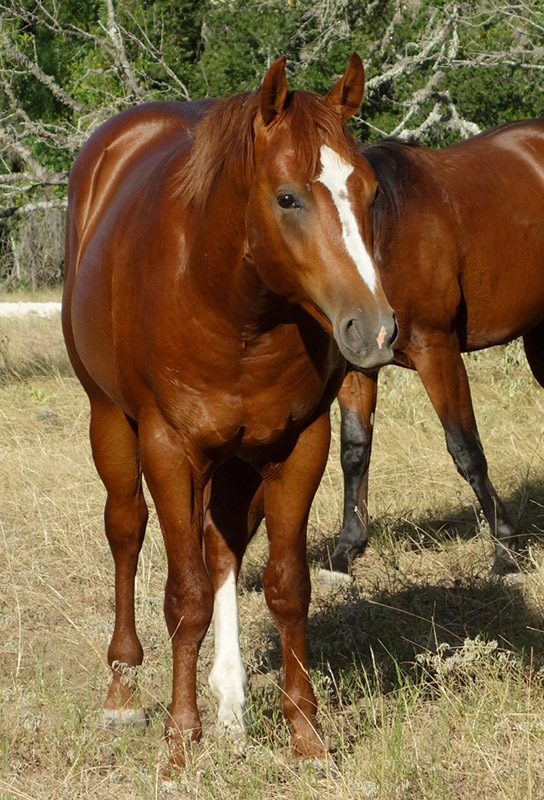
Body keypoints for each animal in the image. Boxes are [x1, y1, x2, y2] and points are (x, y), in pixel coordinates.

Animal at [61, 53, 398, 764]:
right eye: (288, 196)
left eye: (371, 193)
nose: (375, 329)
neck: (233, 307)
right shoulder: (169, 448)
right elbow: (183, 595)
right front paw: (179, 740)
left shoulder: (298, 446)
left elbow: (286, 586)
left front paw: (305, 734)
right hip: (110, 420)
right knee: (127, 532)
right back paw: (123, 693)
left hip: (238, 459)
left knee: (223, 548)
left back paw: (232, 703)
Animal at [324, 119, 544, 580]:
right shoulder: (356, 366)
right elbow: (354, 451)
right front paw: (345, 551)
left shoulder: (437, 351)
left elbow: (465, 448)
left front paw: (505, 550)